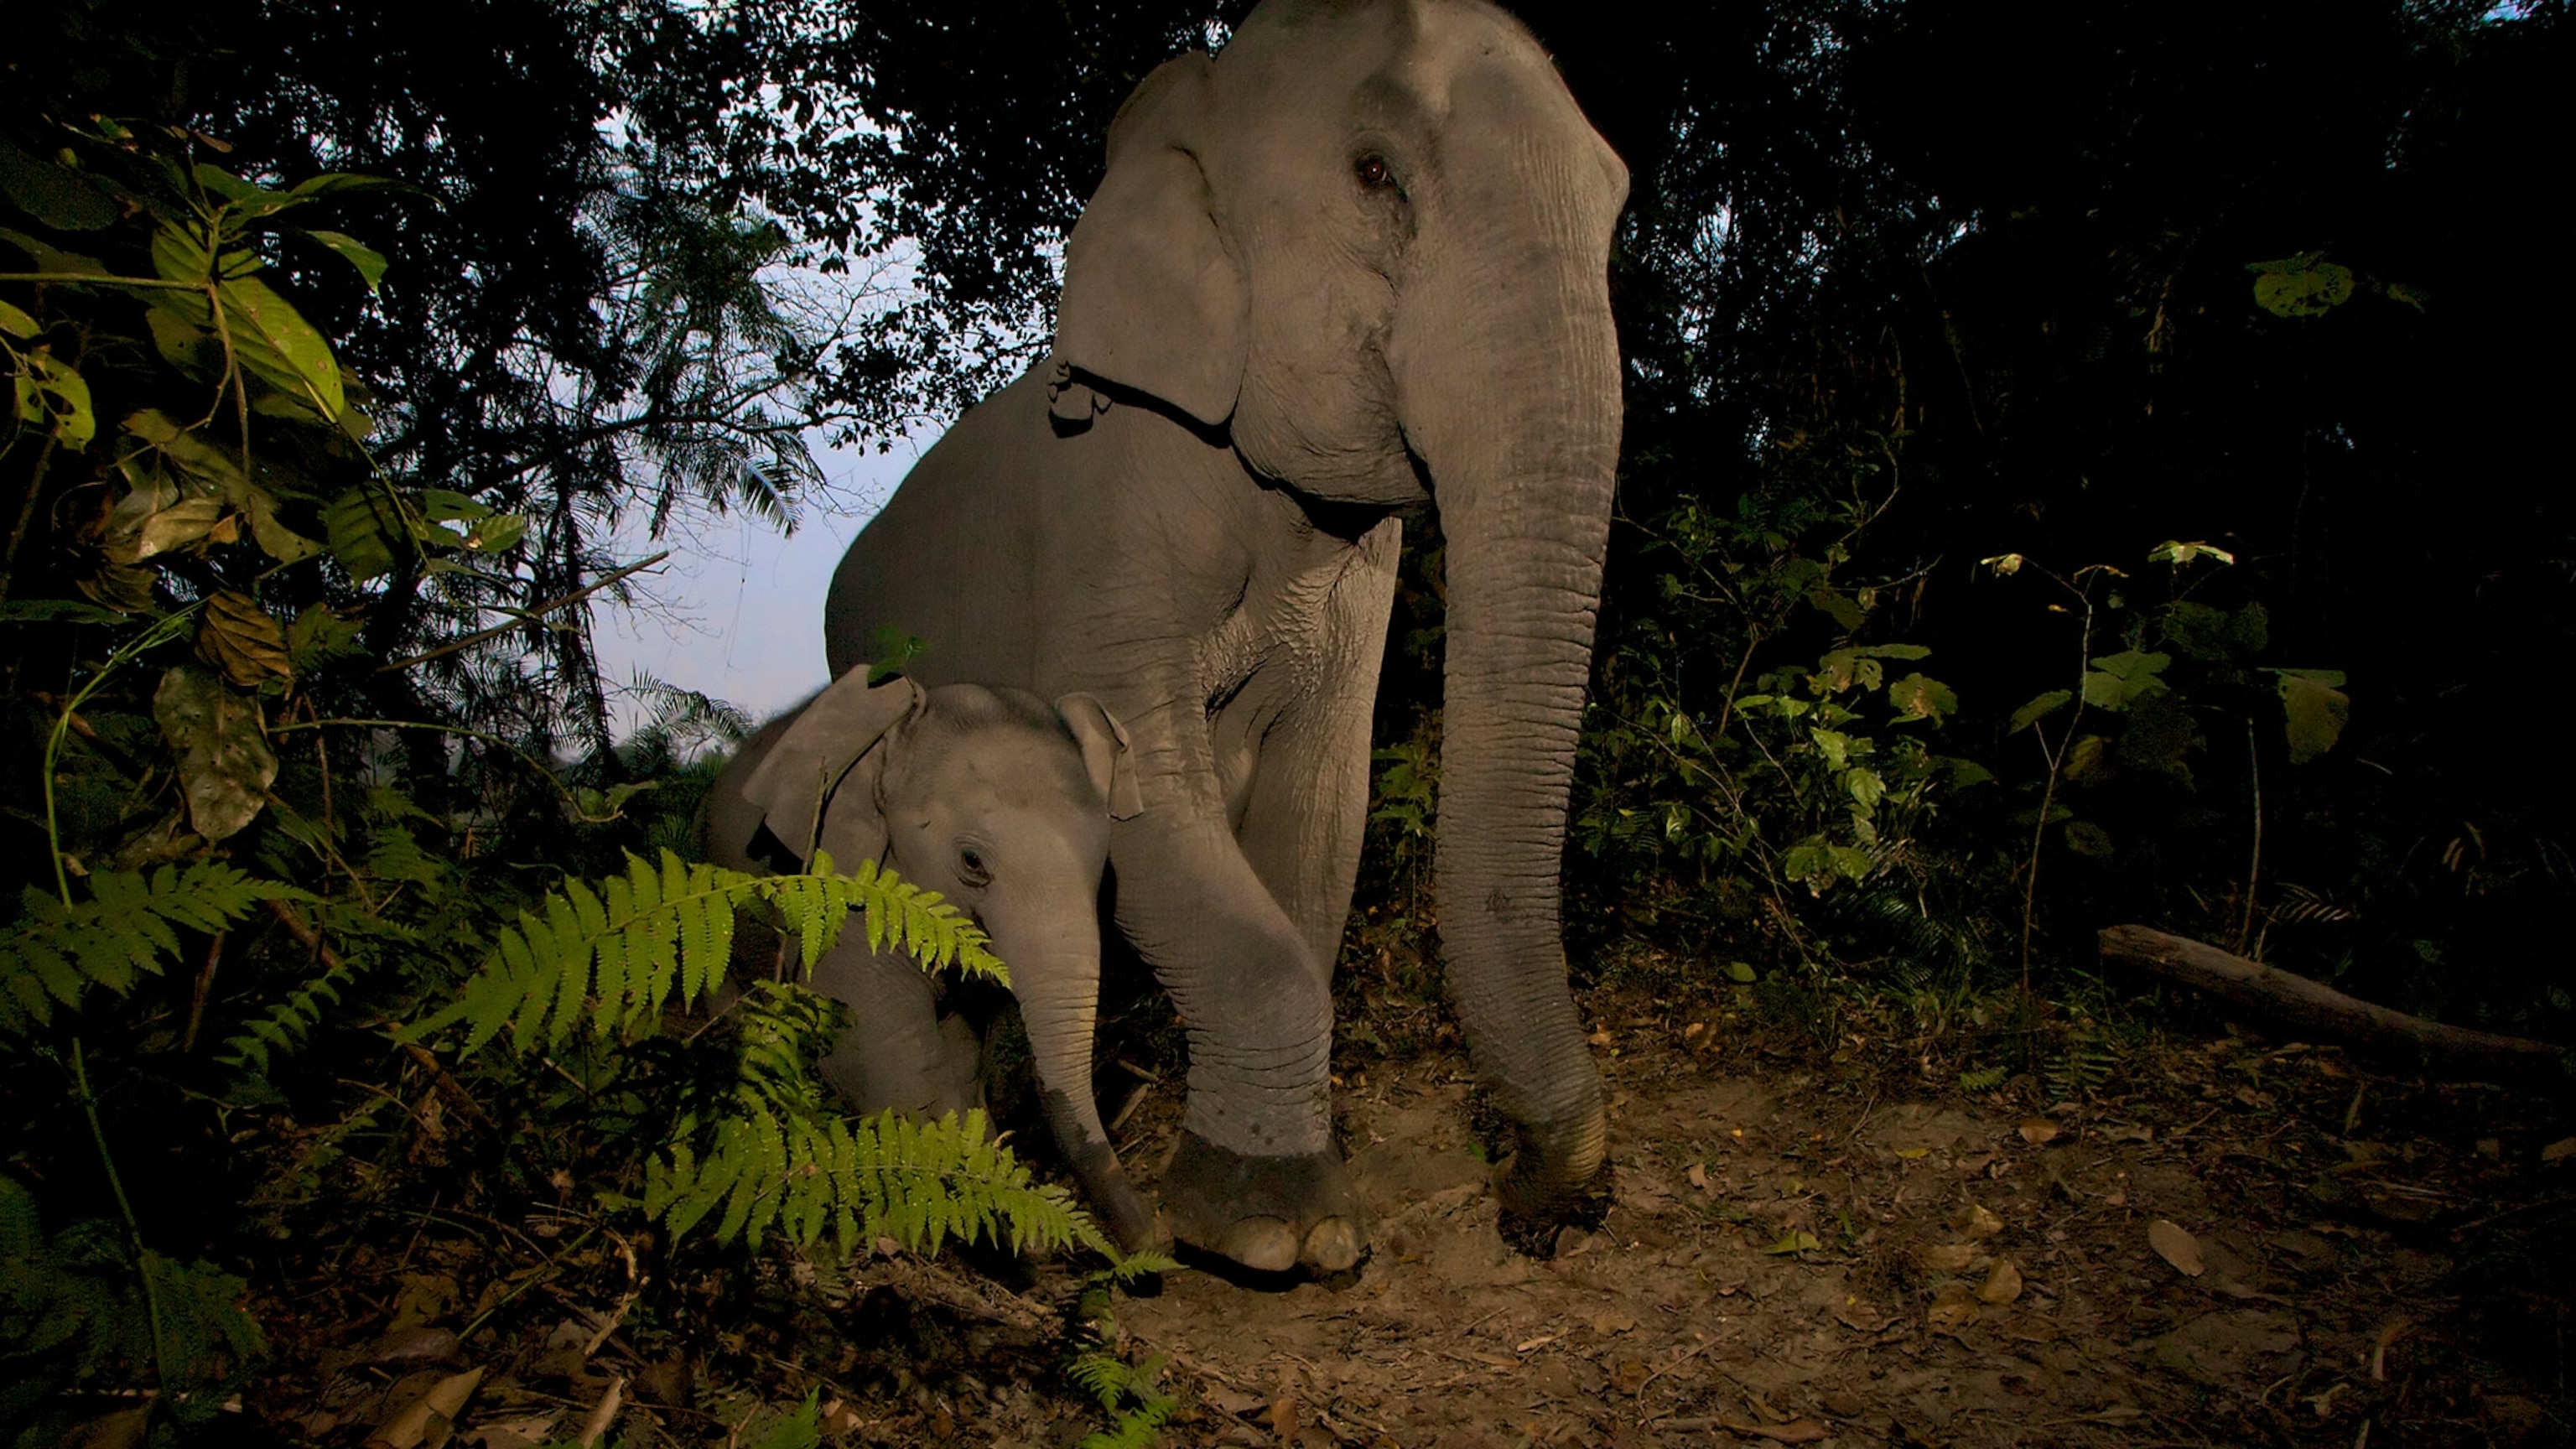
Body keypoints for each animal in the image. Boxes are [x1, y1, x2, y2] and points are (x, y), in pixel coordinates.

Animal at [700, 669, 1161, 1253]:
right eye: (972, 862)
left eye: (1104, 860)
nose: (1158, 1234)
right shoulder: (839, 890)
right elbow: (887, 1056)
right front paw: (989, 1218)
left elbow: (961, 1052)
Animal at [822, 0, 1627, 1274]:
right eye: (1374, 175)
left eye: (1617, 200)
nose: (1533, 1206)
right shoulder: (1105, 512)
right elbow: (1152, 798)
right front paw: (1270, 1234)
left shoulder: (1356, 571)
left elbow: (1320, 812)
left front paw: (1283, 1204)